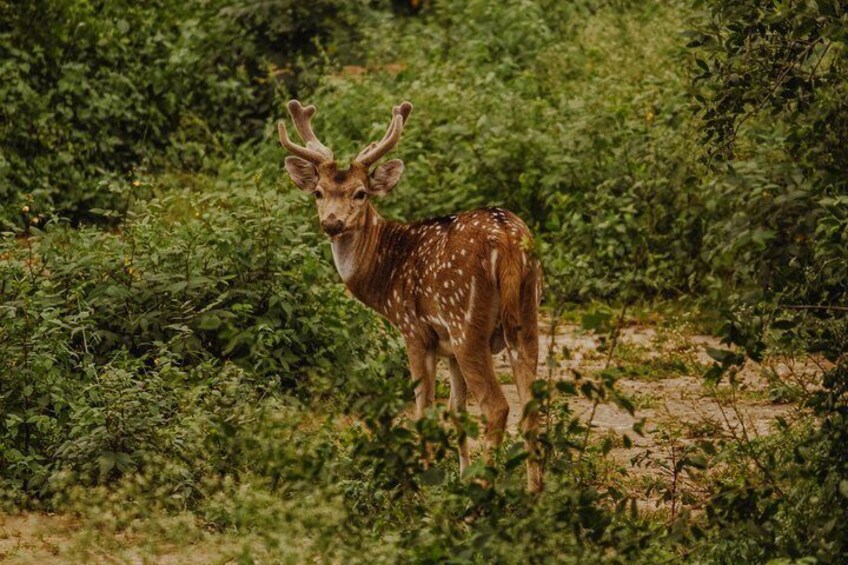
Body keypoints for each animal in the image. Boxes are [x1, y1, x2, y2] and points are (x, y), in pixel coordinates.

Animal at [278, 97, 544, 490]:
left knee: (497, 407)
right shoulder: (448, 349)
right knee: (531, 406)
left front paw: (427, 480)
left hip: (466, 321)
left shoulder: (415, 330)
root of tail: (509, 241)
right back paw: (534, 492)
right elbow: (456, 411)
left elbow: (424, 410)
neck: (385, 274)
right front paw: (459, 477)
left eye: (360, 193)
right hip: (526, 317)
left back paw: (487, 490)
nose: (332, 222)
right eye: (318, 192)